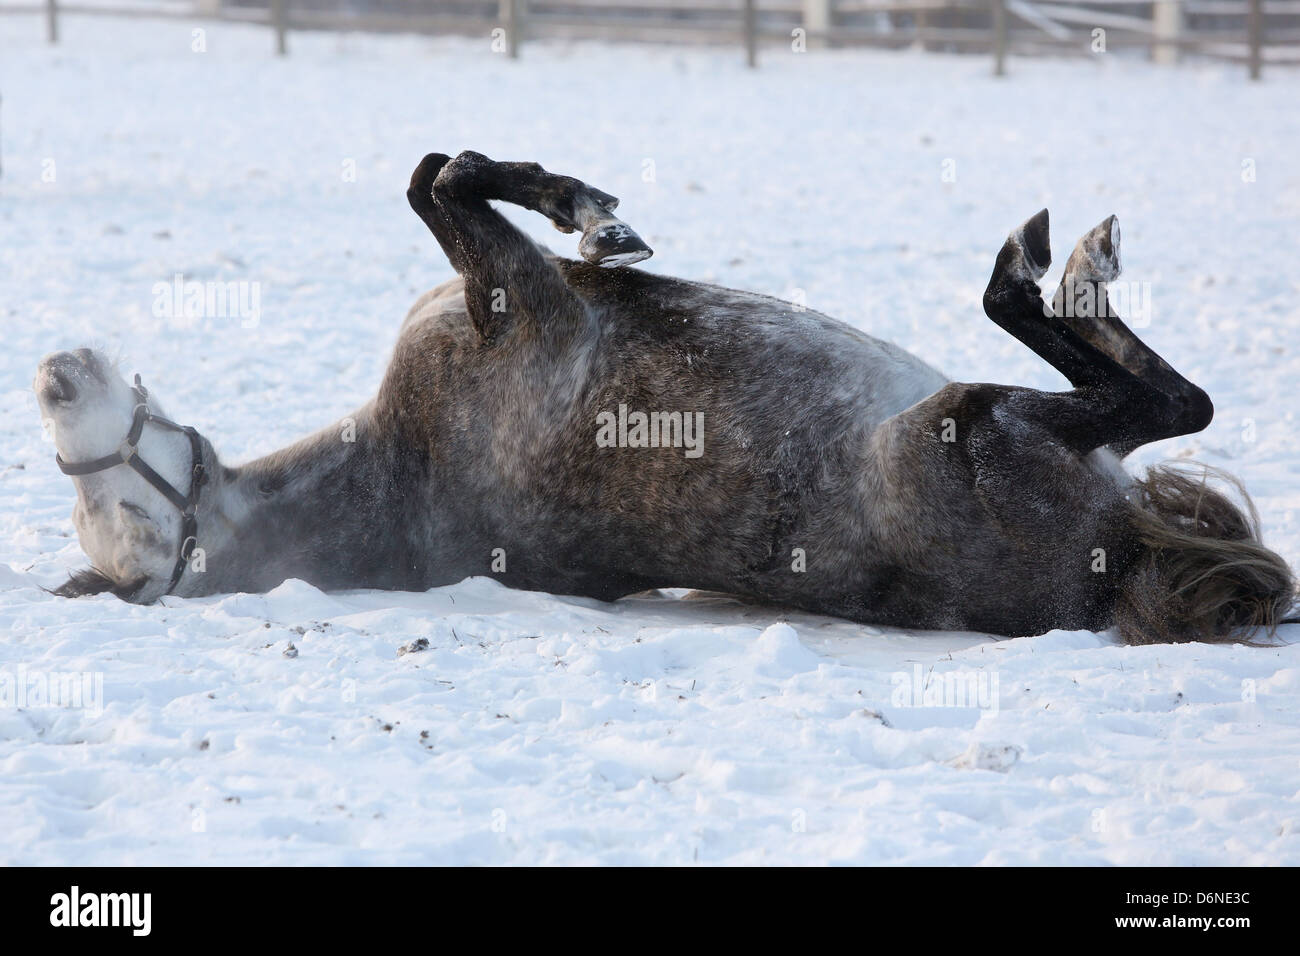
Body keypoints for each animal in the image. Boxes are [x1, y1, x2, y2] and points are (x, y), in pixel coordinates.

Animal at [33, 150, 1296, 644]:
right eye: (121, 520)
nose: (50, 376)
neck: (408, 461)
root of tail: (1120, 558)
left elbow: (431, 174)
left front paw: (592, 211)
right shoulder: (528, 296)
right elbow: (452, 182)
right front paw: (598, 217)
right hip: (977, 421)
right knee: (1152, 399)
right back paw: (1059, 263)